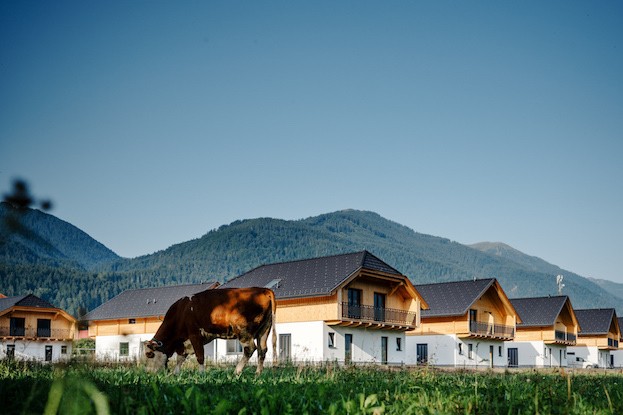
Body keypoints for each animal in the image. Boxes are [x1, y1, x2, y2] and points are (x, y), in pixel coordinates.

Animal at [145, 288, 276, 376]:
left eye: (149, 354)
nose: (148, 373)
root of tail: (262, 290)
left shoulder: (194, 335)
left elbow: (200, 356)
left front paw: (201, 374)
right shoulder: (183, 343)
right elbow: (180, 358)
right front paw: (176, 373)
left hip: (243, 331)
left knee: (250, 349)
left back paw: (236, 371)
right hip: (264, 330)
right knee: (262, 350)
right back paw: (257, 374)